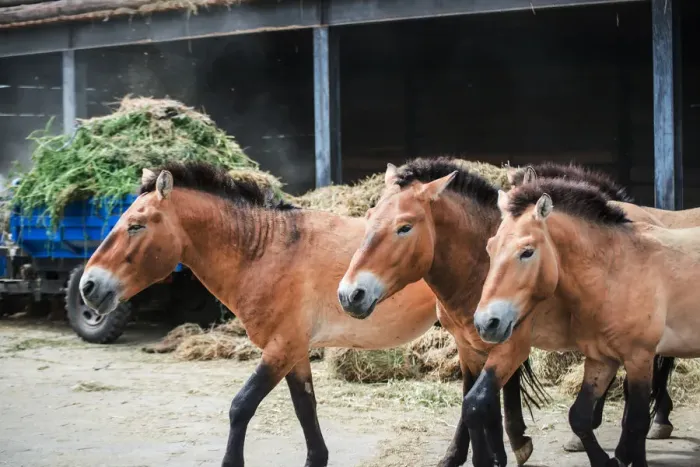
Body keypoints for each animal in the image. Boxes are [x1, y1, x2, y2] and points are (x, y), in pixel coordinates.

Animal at [77, 161, 536, 467]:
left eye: (136, 224)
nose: (88, 286)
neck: (267, 249)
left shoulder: (280, 349)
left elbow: (241, 406)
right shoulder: (294, 351)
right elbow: (305, 408)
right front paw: (317, 458)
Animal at [474, 178, 700, 466]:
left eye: (527, 252)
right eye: (490, 246)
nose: (486, 323)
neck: (616, 272)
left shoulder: (639, 357)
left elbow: (636, 423)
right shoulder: (601, 359)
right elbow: (579, 416)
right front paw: (605, 459)